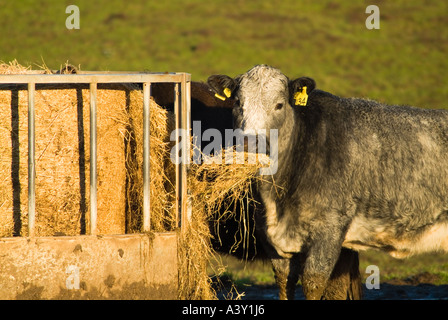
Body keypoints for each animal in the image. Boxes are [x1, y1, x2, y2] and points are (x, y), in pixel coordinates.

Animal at [208, 64, 448, 300]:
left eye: (279, 105)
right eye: (238, 103)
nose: (249, 144)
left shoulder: (329, 231)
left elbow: (313, 283)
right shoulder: (272, 241)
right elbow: (285, 283)